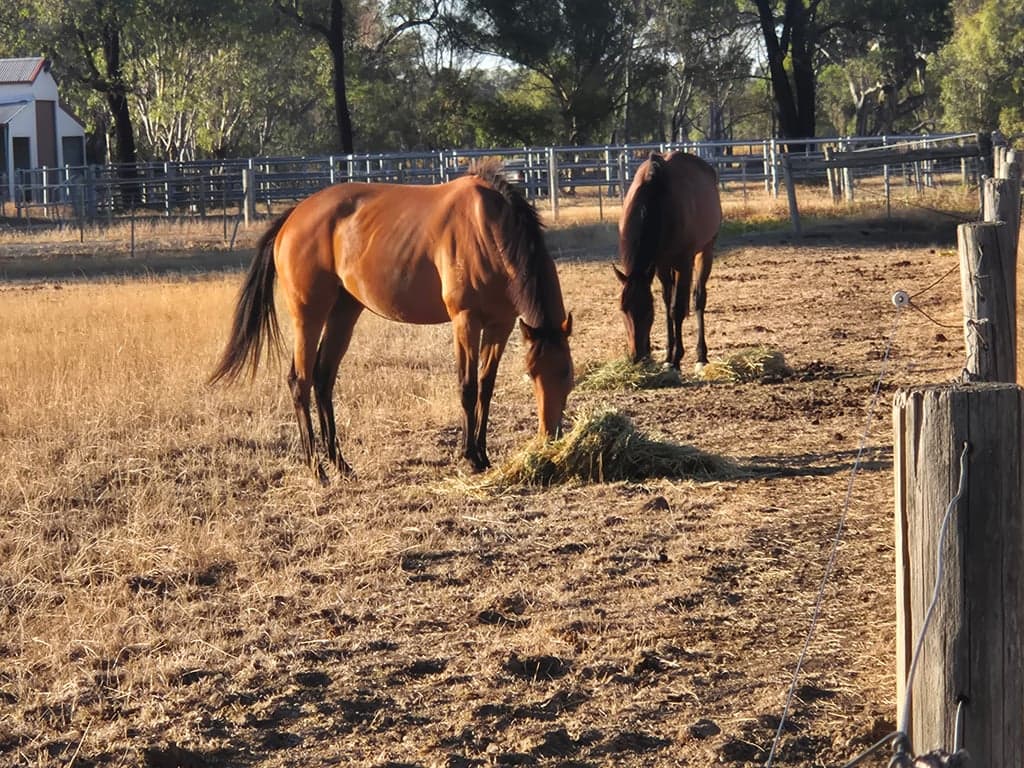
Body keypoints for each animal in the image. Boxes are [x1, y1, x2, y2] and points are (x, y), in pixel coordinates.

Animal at [209, 160, 574, 479]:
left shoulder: (501, 323)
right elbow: (468, 387)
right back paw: (317, 470)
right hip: (308, 316)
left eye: (568, 376)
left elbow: (486, 387)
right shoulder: (466, 320)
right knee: (300, 380)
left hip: (344, 313)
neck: (489, 230)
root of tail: (293, 216)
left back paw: (341, 464)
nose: (550, 435)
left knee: (323, 378)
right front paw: (470, 456)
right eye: (532, 374)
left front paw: (482, 454)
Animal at [613, 151, 722, 370]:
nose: (637, 356)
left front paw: (676, 358)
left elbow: (677, 309)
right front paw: (667, 356)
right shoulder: (660, 265)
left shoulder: (683, 264)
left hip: (705, 251)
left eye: (648, 313)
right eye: (623, 310)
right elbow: (667, 305)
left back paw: (701, 356)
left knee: (698, 298)